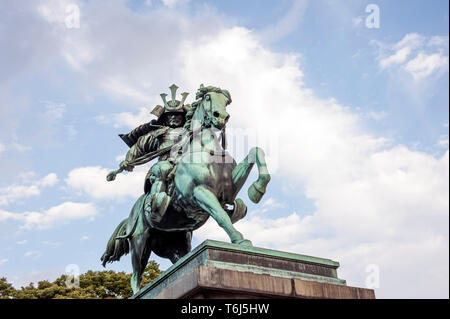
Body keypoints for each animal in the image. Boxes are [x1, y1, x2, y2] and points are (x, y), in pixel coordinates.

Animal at [101, 85, 270, 296]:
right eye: (207, 97)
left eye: (226, 101)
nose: (221, 117)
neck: (207, 150)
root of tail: (130, 216)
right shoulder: (200, 192)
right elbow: (221, 216)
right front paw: (239, 240)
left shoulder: (228, 191)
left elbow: (256, 152)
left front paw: (257, 190)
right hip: (140, 242)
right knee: (136, 275)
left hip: (177, 243)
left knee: (177, 260)